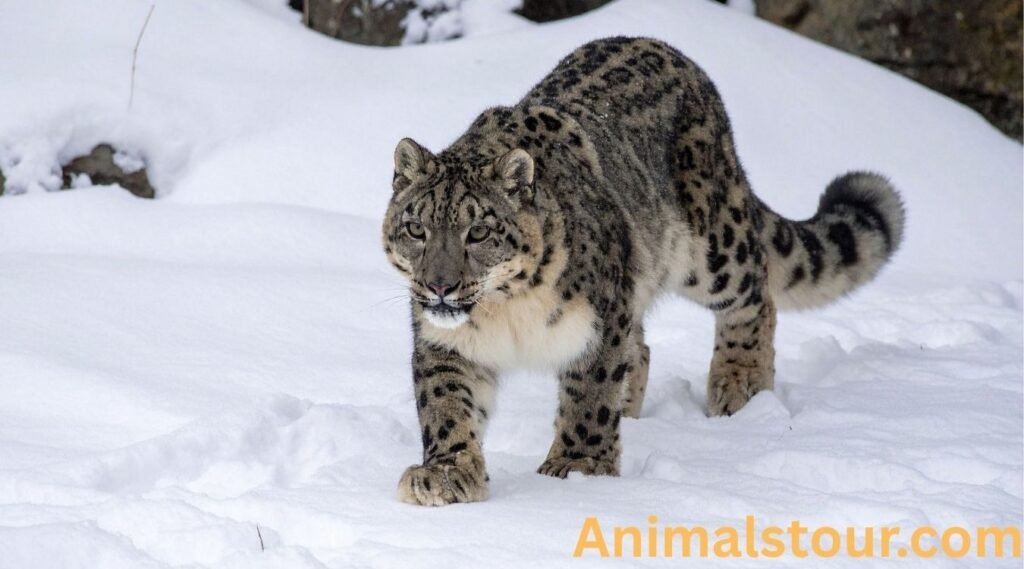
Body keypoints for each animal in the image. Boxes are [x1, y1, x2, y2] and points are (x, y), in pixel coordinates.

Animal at [381, 37, 905, 506]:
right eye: (416, 228)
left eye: (478, 232)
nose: (440, 286)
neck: (506, 311)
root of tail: (678, 57)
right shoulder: (445, 342)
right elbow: (446, 403)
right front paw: (445, 475)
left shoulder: (600, 322)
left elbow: (589, 395)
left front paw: (577, 467)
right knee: (644, 348)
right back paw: (633, 413)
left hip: (712, 248)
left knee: (755, 295)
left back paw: (739, 387)